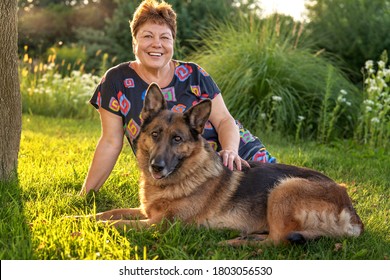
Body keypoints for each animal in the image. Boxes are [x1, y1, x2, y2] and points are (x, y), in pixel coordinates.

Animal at [91, 83, 362, 245]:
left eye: (177, 139)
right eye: (155, 134)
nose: (157, 167)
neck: (186, 175)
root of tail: (352, 213)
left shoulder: (160, 225)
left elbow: (117, 223)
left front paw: (86, 226)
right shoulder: (147, 213)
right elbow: (110, 212)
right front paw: (81, 216)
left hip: (284, 188)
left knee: (277, 242)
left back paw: (231, 243)